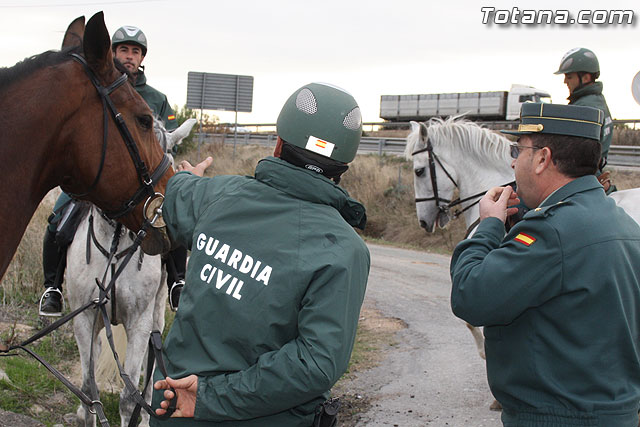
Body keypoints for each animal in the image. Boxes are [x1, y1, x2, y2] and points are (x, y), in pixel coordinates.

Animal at [65, 118, 196, 427]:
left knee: (151, 361)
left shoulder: (138, 322)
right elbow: (89, 390)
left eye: (169, 155)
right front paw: (86, 412)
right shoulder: (84, 317)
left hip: (156, 312)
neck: (117, 241)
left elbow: (128, 398)